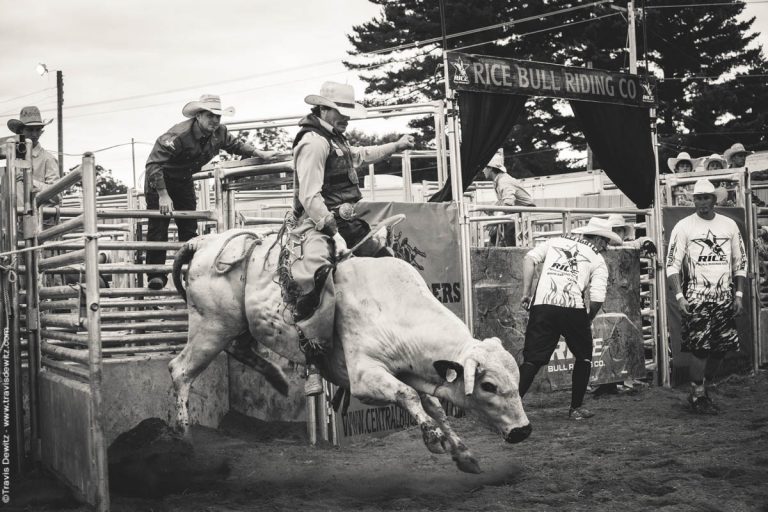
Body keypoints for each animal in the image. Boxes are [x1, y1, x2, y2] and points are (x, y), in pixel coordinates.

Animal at [169, 229, 531, 473]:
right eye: (488, 385)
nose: (523, 431)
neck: (393, 305)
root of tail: (203, 243)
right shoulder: (363, 377)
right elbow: (409, 397)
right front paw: (433, 438)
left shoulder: (410, 370)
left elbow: (434, 405)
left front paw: (463, 454)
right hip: (212, 326)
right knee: (180, 370)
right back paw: (185, 445)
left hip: (238, 326)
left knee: (238, 349)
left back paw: (277, 379)